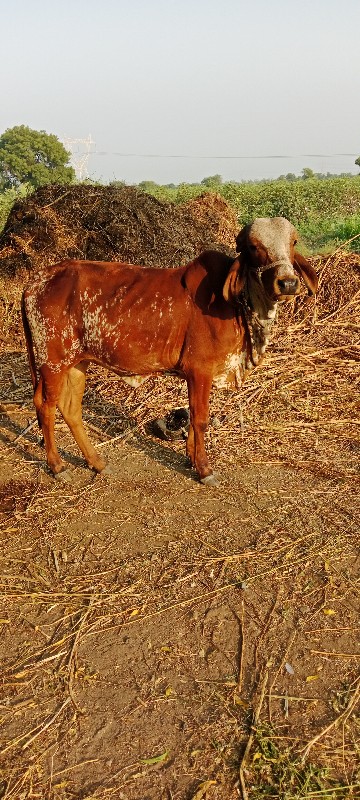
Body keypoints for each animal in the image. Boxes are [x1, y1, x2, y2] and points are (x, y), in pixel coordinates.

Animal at [21, 216, 318, 484]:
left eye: (293, 243)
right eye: (255, 247)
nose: (288, 283)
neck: (238, 306)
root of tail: (36, 280)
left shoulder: (196, 375)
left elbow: (192, 416)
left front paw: (191, 457)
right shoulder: (200, 370)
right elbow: (200, 419)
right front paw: (204, 469)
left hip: (76, 362)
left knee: (70, 409)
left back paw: (97, 462)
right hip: (52, 362)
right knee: (46, 407)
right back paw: (58, 466)